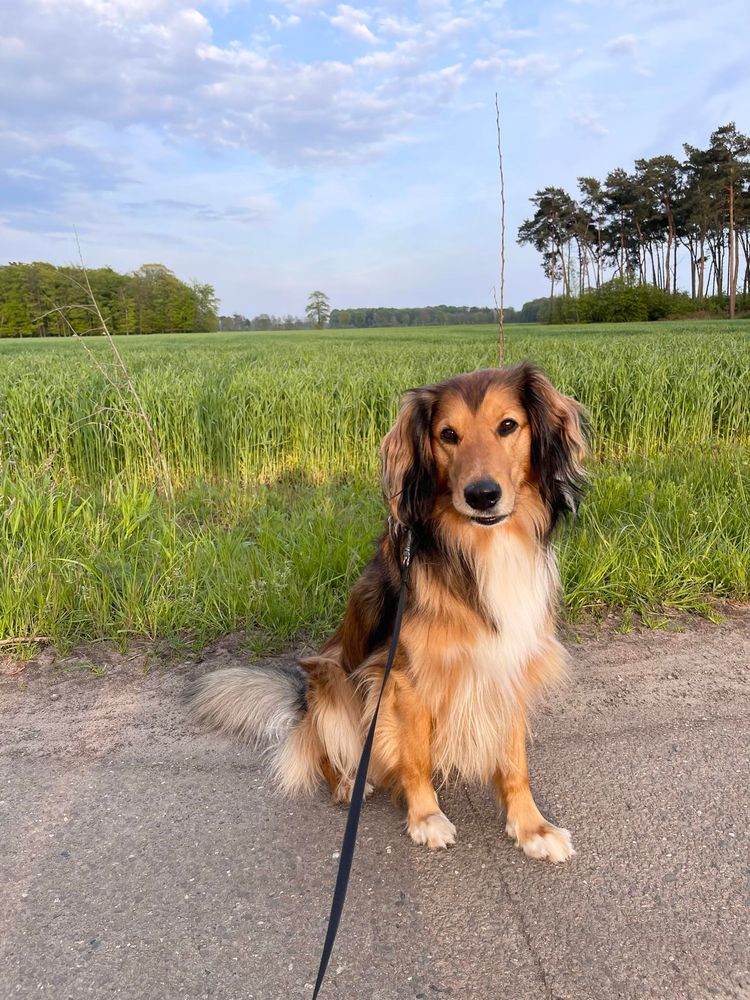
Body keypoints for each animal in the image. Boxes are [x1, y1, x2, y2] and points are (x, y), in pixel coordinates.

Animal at [191, 364, 592, 864]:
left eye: (508, 426)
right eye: (447, 435)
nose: (481, 495)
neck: (479, 552)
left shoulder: (508, 665)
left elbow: (514, 763)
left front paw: (531, 827)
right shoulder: (404, 679)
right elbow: (415, 758)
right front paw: (425, 818)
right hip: (331, 676)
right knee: (326, 751)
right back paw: (348, 783)